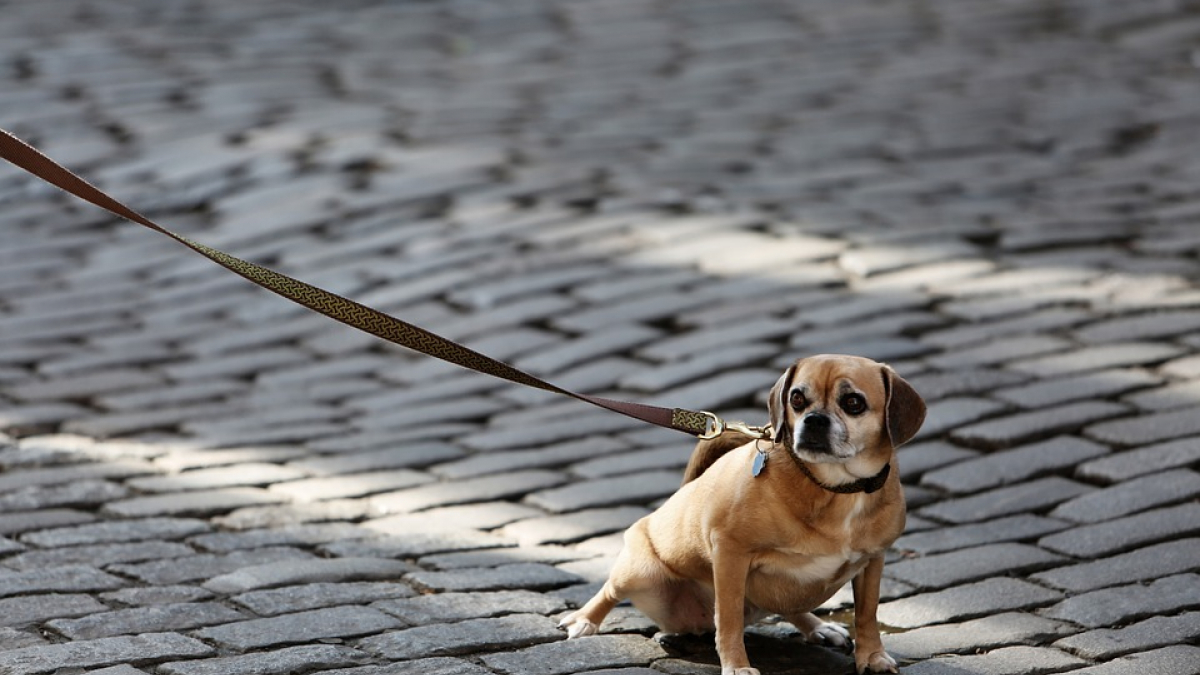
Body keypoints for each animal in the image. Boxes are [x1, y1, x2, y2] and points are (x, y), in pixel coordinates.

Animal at [559, 355, 926, 667]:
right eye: (797, 399)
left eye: (853, 403)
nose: (813, 420)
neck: (835, 489)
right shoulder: (730, 553)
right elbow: (729, 620)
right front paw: (736, 666)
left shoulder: (873, 561)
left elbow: (867, 614)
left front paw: (872, 657)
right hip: (639, 573)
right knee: (609, 590)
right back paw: (584, 620)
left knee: (790, 606)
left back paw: (819, 627)